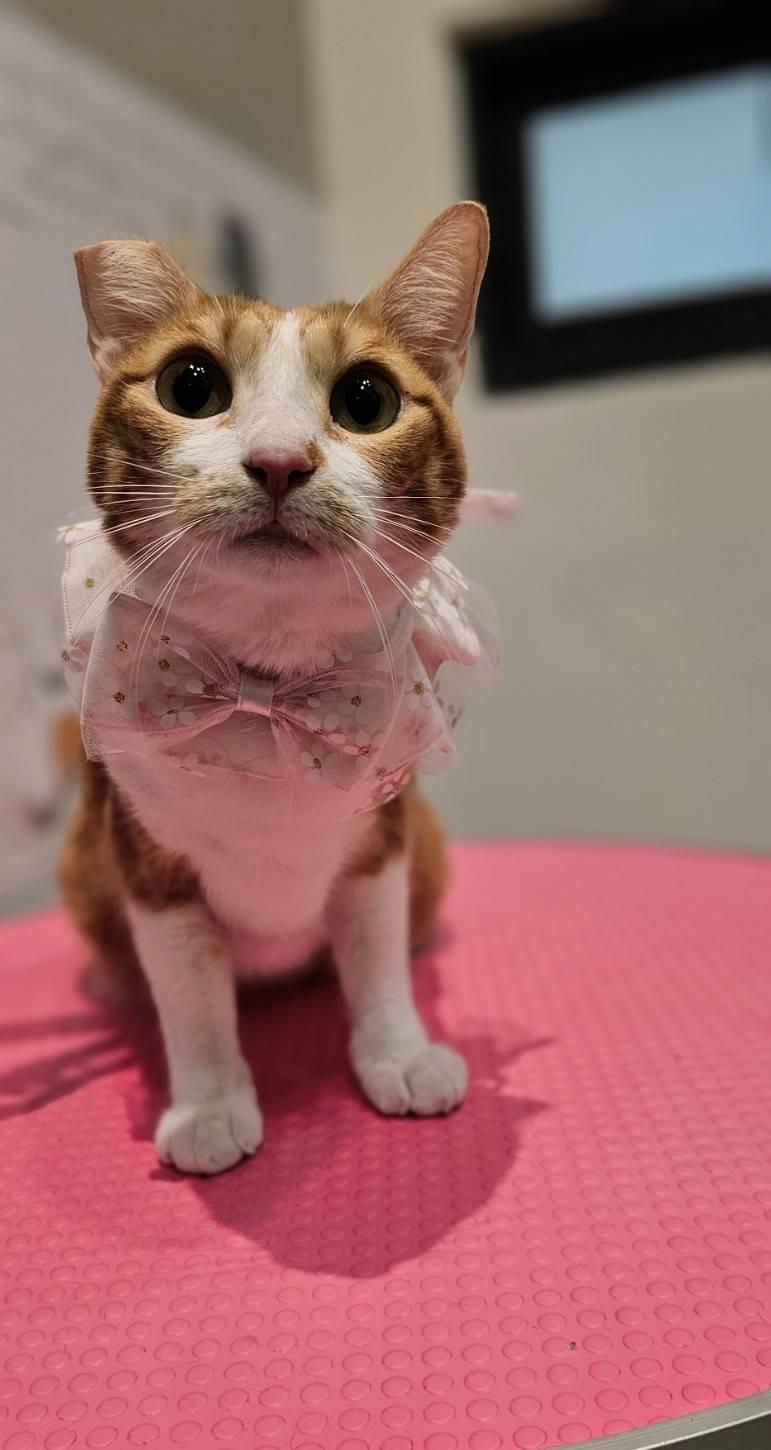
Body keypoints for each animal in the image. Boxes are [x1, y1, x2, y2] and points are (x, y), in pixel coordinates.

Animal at [59, 202, 492, 1175]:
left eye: (367, 399)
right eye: (190, 386)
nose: (279, 460)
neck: (265, 698)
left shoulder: (381, 837)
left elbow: (375, 954)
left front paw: (398, 1052)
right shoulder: (147, 864)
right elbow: (189, 993)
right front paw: (211, 1103)